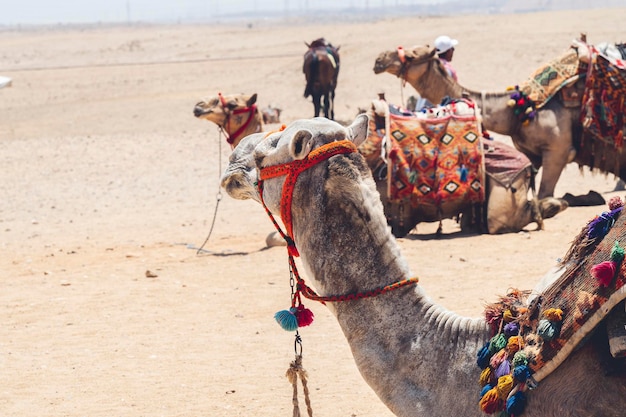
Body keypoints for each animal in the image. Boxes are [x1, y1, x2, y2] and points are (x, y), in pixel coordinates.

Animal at [370, 44, 624, 202]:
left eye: (413, 54)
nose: (379, 60)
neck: (520, 108)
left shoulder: (558, 150)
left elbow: (544, 194)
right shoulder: (530, 153)